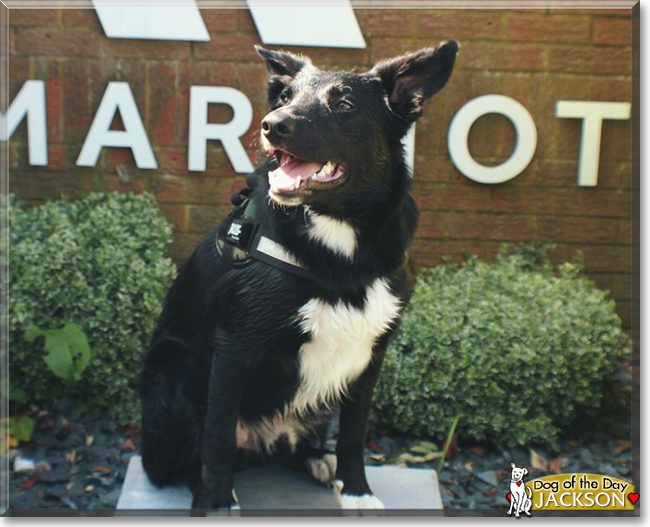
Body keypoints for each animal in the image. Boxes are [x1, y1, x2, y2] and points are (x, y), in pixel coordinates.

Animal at [140, 43, 458, 512]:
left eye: (344, 105)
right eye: (285, 99)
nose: (273, 126)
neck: (339, 241)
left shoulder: (371, 357)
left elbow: (353, 434)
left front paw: (357, 489)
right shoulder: (232, 349)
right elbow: (217, 438)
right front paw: (215, 505)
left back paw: (318, 460)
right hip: (173, 368)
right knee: (180, 462)